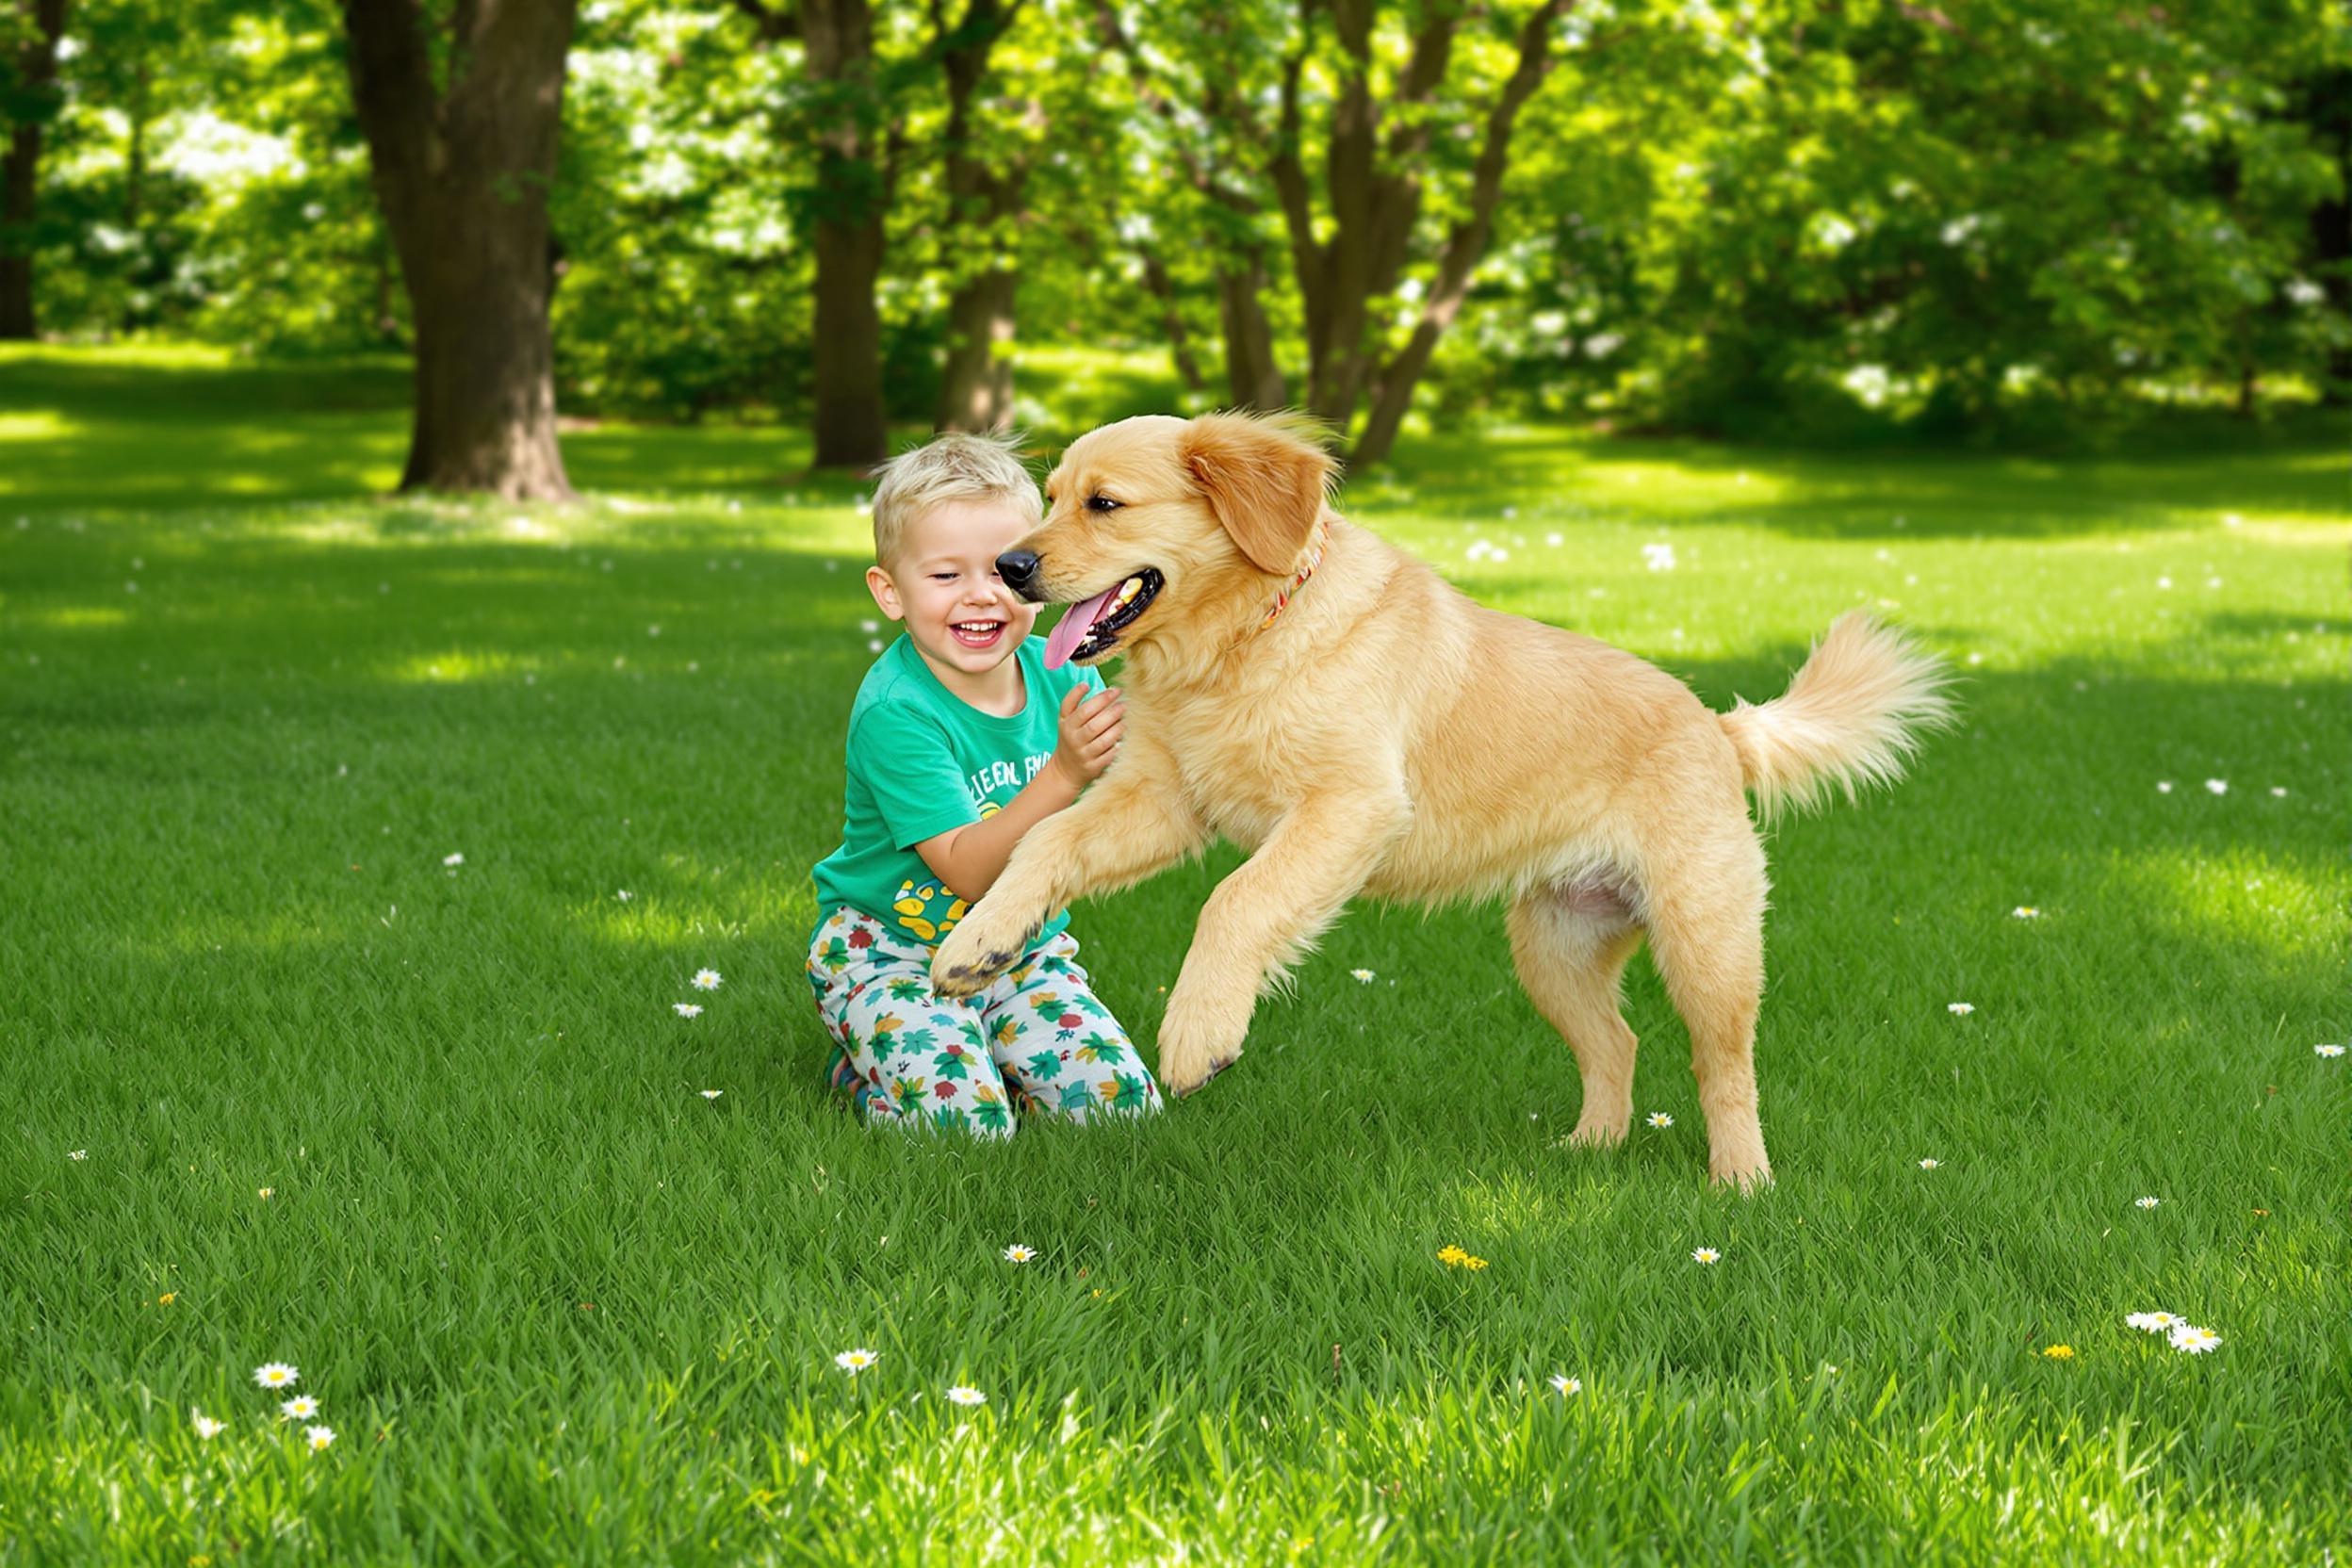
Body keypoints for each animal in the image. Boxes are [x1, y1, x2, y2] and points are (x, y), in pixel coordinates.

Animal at [931, 411, 1947, 1184]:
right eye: (1049, 497)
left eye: (1104, 504)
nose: (1010, 567)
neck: (1242, 646)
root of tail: (1717, 726)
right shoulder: (1162, 800)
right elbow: (1045, 844)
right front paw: (979, 942)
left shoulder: (1349, 804)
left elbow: (1235, 900)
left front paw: (1198, 1032)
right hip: (1555, 947)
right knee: (1617, 1044)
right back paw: (1590, 1148)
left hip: (1706, 941)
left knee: (1724, 1065)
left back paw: (1741, 1180)